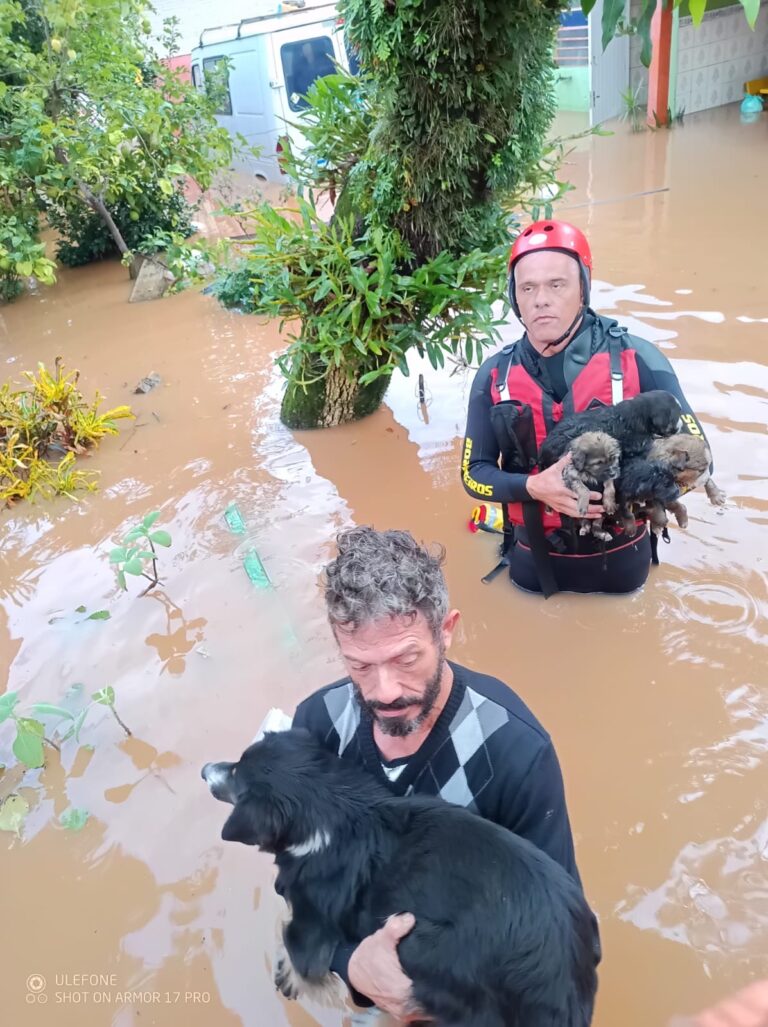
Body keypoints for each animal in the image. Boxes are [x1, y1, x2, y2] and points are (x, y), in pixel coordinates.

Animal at [204, 731, 599, 1027]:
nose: (206, 769)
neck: (330, 810)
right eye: (237, 763)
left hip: (423, 947)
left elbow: (295, 944)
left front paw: (291, 974)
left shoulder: (310, 931)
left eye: (236, 775)